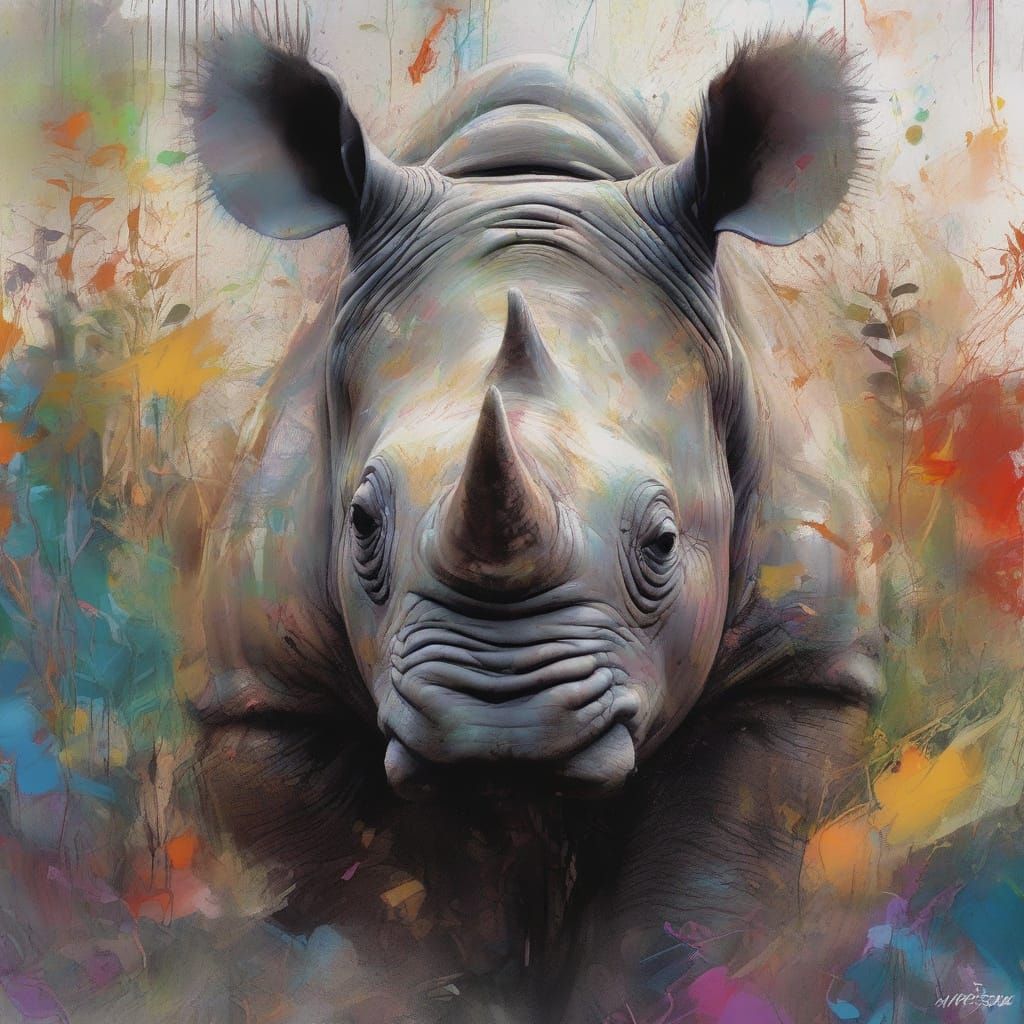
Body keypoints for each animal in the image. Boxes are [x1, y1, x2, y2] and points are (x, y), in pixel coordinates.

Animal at [191, 28, 880, 1024]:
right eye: (360, 524)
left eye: (663, 543)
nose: (501, 723)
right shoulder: (266, 693)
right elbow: (372, 923)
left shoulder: (801, 666)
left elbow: (698, 908)